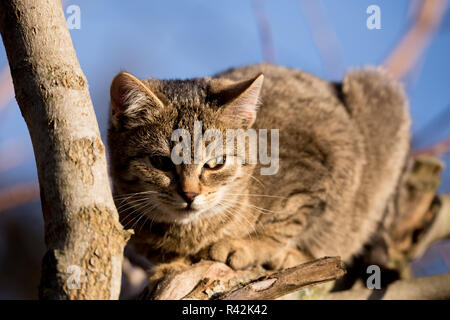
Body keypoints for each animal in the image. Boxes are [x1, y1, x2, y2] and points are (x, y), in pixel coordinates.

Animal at [107, 62, 410, 282]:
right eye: (161, 162)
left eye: (215, 163)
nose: (190, 194)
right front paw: (173, 266)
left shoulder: (318, 174)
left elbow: (288, 222)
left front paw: (245, 245)